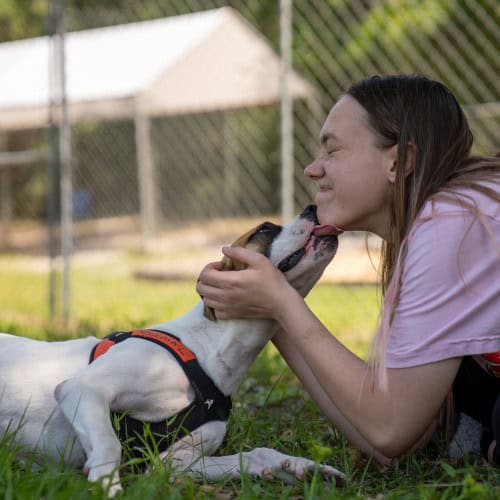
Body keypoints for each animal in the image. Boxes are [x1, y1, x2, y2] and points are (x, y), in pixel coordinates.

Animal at [0, 204, 344, 496]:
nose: (313, 207)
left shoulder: (173, 463)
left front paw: (304, 468)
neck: (206, 349)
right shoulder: (82, 388)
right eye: (265, 229)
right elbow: (110, 444)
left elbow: (257, 455)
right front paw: (106, 484)